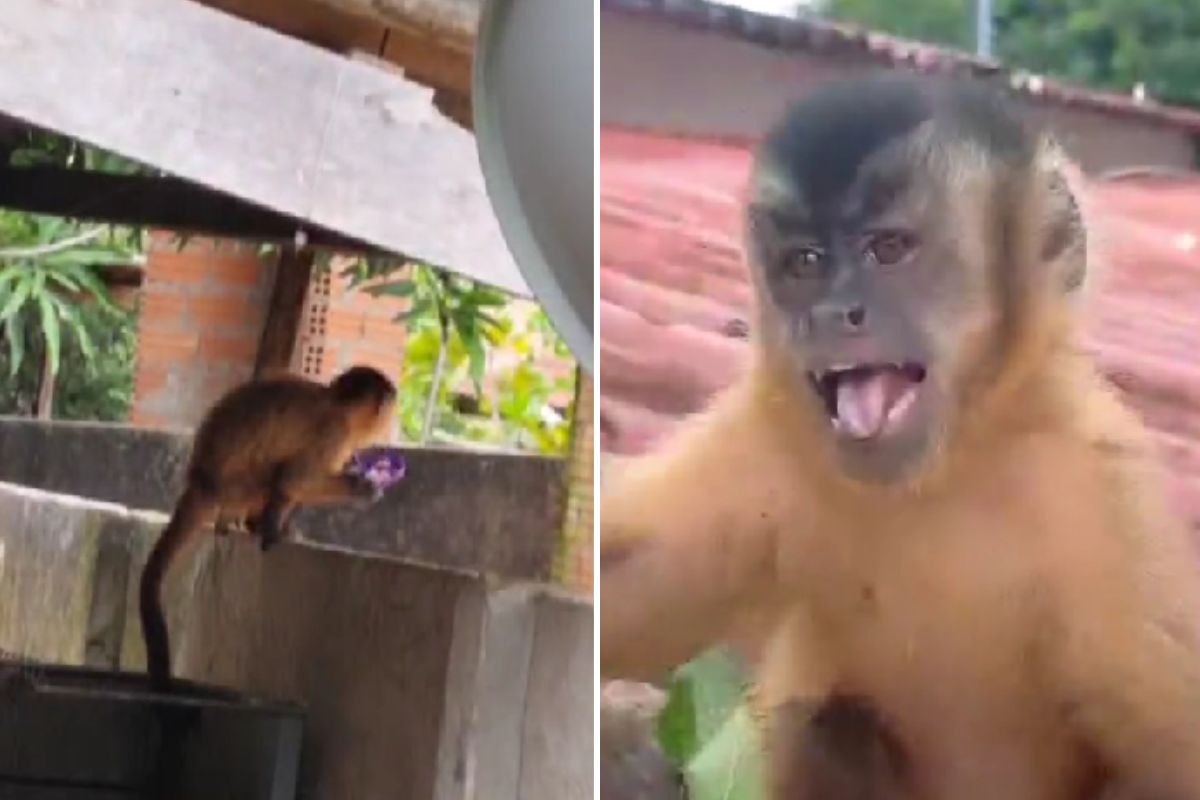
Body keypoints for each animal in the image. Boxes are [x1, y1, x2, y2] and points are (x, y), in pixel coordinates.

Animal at [139, 365, 397, 691]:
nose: (393, 425)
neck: (336, 405)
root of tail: (200, 482)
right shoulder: (333, 433)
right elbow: (297, 480)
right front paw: (363, 487)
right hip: (236, 487)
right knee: (279, 477)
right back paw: (265, 525)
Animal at [598, 74, 1200, 800]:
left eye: (888, 250)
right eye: (804, 262)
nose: (832, 314)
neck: (948, 467)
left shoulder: (1103, 489)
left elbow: (1168, 758)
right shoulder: (775, 442)